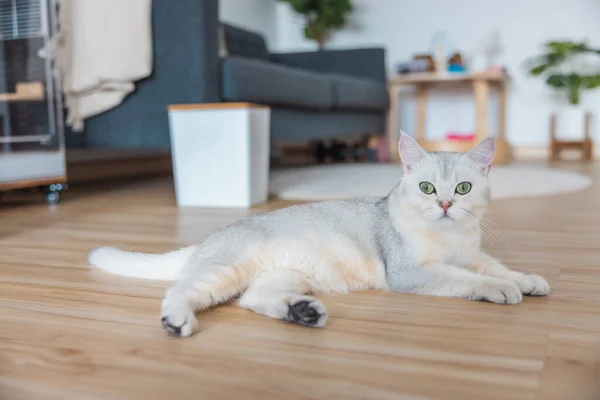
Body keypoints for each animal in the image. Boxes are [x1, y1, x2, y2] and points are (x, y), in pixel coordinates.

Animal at [86, 132, 552, 338]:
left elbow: (496, 266)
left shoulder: (474, 252)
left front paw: (528, 280)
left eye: (463, 188)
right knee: (180, 290)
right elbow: (467, 277)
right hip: (224, 270)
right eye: (425, 188)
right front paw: (500, 290)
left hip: (287, 274)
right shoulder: (412, 272)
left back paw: (302, 312)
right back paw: (177, 319)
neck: (449, 239)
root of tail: (206, 242)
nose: (445, 205)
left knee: (254, 298)